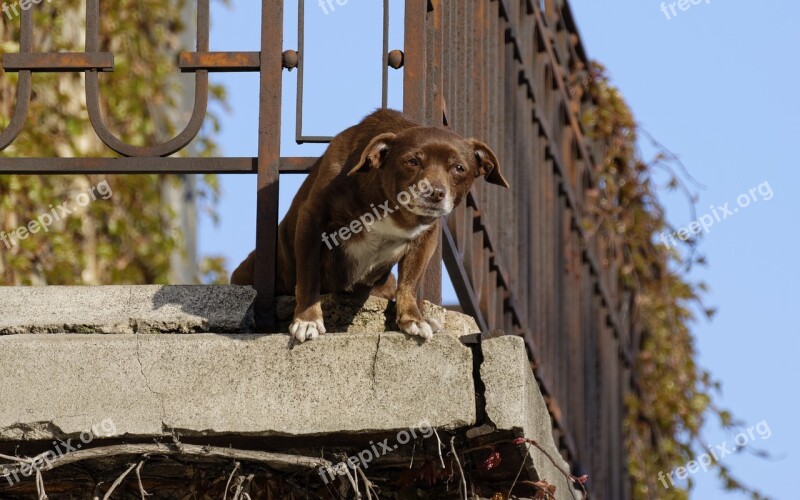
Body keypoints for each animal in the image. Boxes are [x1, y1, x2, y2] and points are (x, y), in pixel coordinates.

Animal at [231, 108, 506, 344]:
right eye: (412, 161)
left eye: (459, 168)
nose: (435, 192)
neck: (392, 209)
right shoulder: (311, 219)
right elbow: (309, 276)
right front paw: (308, 320)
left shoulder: (427, 237)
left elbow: (410, 281)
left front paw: (413, 318)